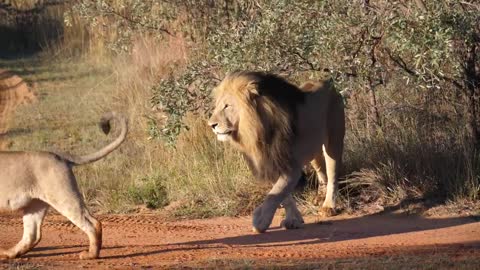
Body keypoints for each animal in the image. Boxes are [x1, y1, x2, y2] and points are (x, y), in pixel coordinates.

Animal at [0, 112, 127, 260]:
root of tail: (60, 156)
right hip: (36, 204)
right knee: (32, 235)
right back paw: (8, 253)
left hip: (63, 196)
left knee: (93, 223)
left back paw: (90, 255)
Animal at [208, 71, 344, 232]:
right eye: (217, 106)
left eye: (227, 106)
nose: (211, 125)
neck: (257, 132)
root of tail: (328, 83)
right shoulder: (270, 164)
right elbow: (284, 197)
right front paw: (293, 219)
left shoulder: (291, 167)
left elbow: (275, 193)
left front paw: (260, 220)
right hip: (314, 151)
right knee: (321, 171)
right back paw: (320, 197)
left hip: (334, 141)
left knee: (332, 174)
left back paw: (329, 206)